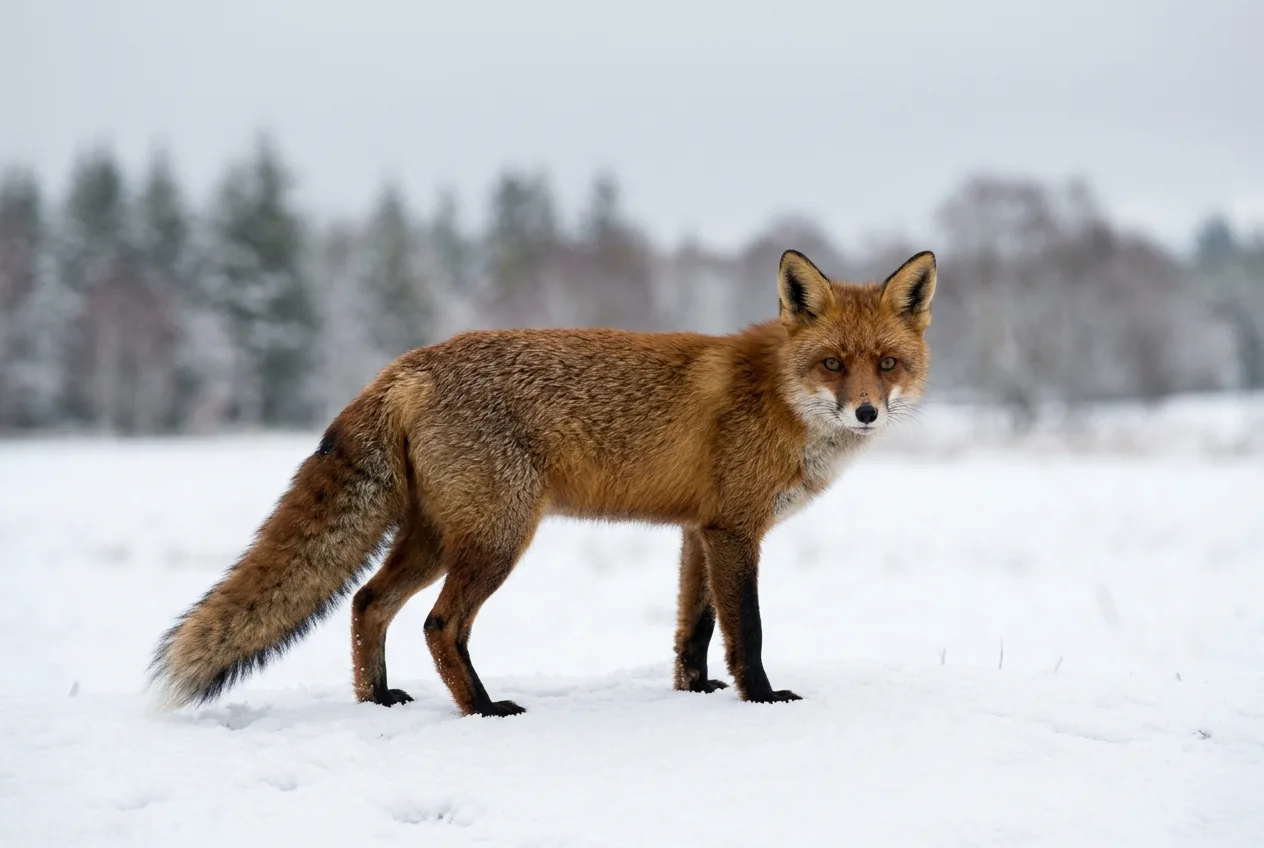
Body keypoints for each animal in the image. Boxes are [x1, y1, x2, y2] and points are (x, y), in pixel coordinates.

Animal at [149, 248, 937, 717]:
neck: (777, 396)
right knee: (439, 624)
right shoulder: (735, 530)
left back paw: (376, 699)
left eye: (886, 364)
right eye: (832, 364)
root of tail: (405, 365)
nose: (867, 411)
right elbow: (748, 629)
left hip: (436, 538)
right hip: (497, 538)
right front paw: (763, 700)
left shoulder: (698, 530)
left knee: (368, 604)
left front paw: (693, 696)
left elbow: (693, 630)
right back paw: (482, 709)